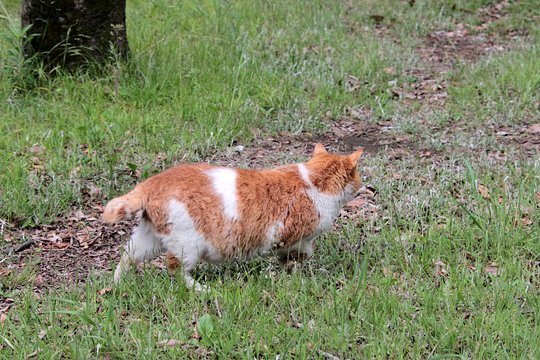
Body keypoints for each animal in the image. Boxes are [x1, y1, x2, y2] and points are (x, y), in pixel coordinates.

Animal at [102, 143, 362, 290]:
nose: (362, 186)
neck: (313, 180)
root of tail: (151, 183)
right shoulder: (291, 236)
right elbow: (302, 252)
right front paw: (294, 268)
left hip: (149, 239)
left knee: (127, 256)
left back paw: (116, 283)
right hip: (188, 244)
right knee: (175, 268)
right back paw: (199, 288)